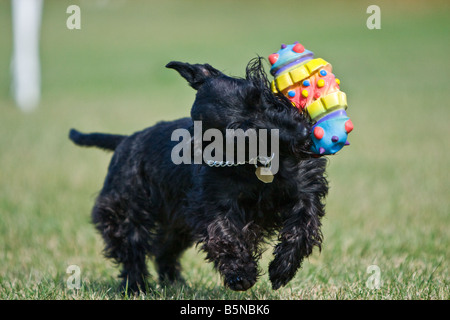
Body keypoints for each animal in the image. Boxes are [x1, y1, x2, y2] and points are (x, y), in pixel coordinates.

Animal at [71, 57, 330, 292]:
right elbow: (224, 236)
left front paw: (282, 268)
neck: (254, 162)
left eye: (258, 96)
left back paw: (174, 283)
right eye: (243, 131)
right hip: (125, 212)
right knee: (132, 251)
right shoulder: (213, 206)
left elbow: (303, 226)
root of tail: (124, 141)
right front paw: (240, 274)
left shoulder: (303, 191)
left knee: (163, 250)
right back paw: (137, 287)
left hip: (175, 224)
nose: (303, 134)